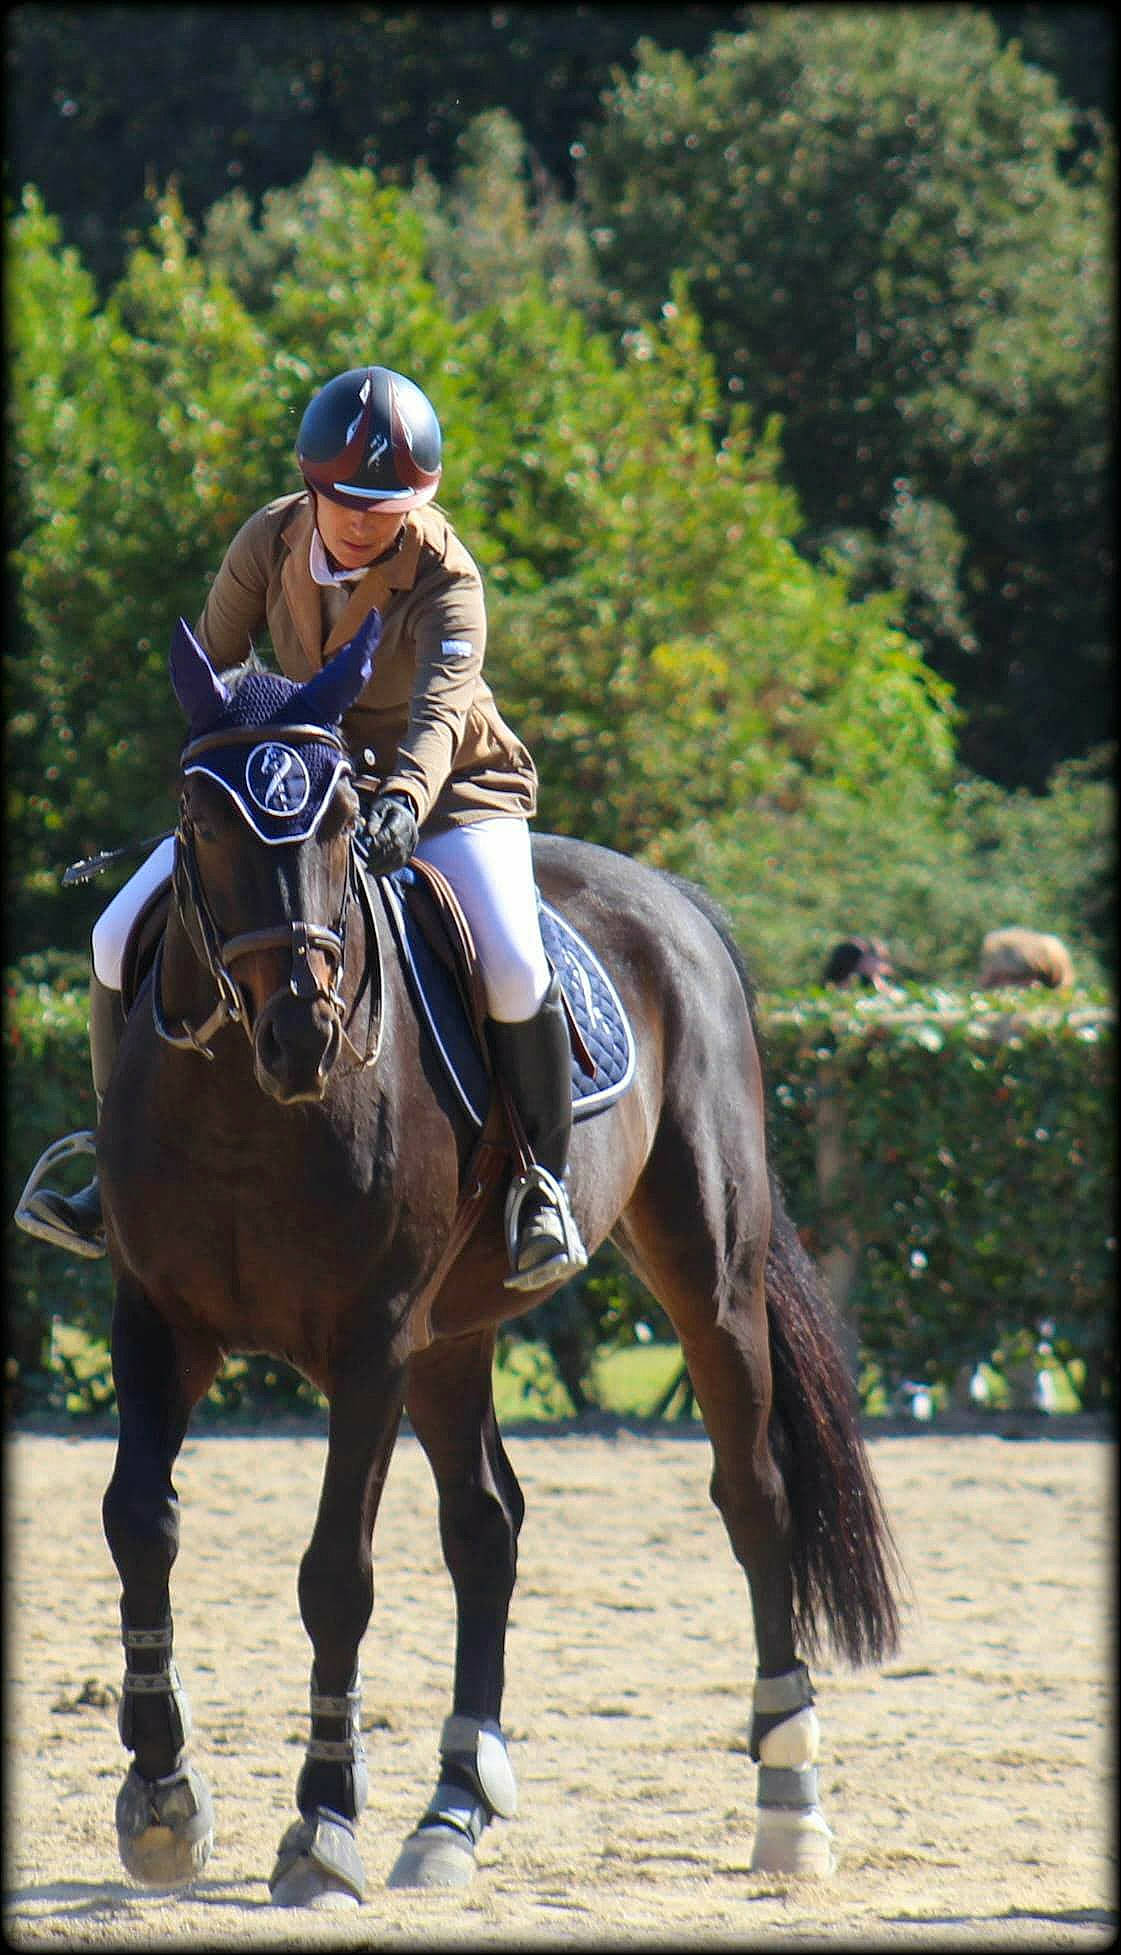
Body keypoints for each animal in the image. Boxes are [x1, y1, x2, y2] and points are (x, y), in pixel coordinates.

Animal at [79, 616, 901, 1907]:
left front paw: (321, 1823)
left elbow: (336, 1574)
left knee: (752, 1495)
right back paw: (450, 1808)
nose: (301, 1032)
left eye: (337, 821)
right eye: (200, 821)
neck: (248, 1112)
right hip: (455, 1336)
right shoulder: (157, 1322)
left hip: (703, 1280)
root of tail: (668, 895)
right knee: (486, 1527)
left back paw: (789, 1800)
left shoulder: (369, 1346)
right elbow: (139, 1522)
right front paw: (162, 1793)